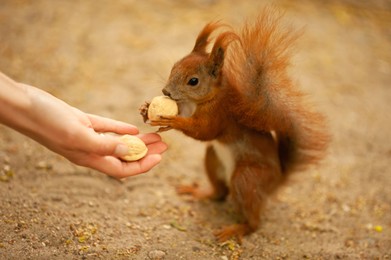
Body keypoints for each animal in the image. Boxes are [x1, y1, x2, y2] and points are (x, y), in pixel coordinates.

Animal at [141, 8, 330, 244]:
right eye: (174, 66)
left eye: (193, 81)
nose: (166, 92)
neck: (208, 98)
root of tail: (277, 179)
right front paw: (146, 109)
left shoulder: (220, 115)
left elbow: (203, 131)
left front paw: (172, 121)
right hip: (213, 158)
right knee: (219, 193)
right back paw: (199, 192)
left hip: (247, 179)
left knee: (254, 221)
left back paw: (235, 229)